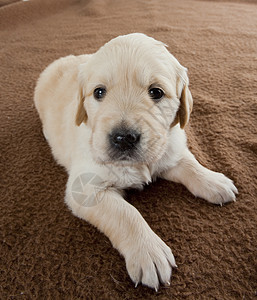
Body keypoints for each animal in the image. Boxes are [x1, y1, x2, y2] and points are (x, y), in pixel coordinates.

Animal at [33, 32, 236, 290]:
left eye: (156, 92)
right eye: (99, 92)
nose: (123, 138)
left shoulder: (169, 146)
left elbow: (188, 162)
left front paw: (213, 181)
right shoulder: (85, 189)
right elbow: (126, 214)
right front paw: (148, 252)